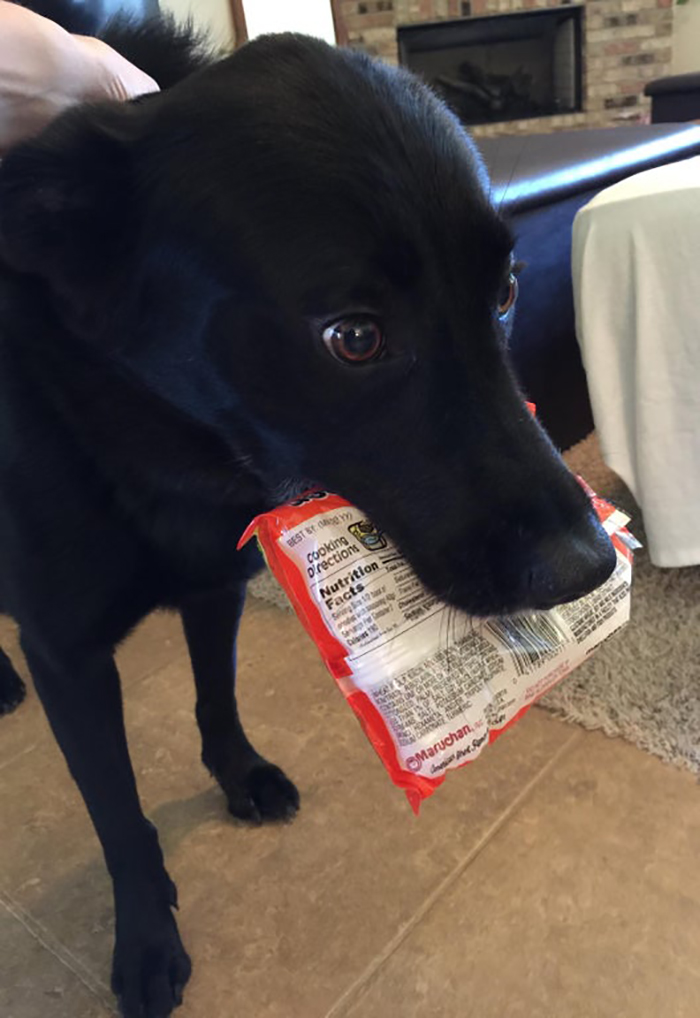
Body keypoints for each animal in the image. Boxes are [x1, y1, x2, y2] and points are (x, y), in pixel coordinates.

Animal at [0, 9, 610, 1018]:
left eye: (507, 293)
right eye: (353, 337)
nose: (592, 566)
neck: (163, 446)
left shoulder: (218, 582)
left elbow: (217, 691)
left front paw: (239, 775)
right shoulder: (68, 655)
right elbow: (119, 816)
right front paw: (147, 943)